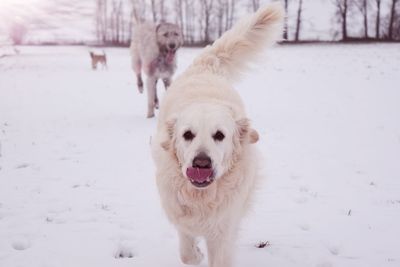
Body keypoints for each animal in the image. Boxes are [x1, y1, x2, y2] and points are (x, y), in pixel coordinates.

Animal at [151, 3, 284, 267]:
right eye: (187, 134)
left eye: (220, 135)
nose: (201, 163)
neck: (201, 195)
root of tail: (207, 66)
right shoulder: (179, 212)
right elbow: (187, 251)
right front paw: (196, 254)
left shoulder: (222, 229)